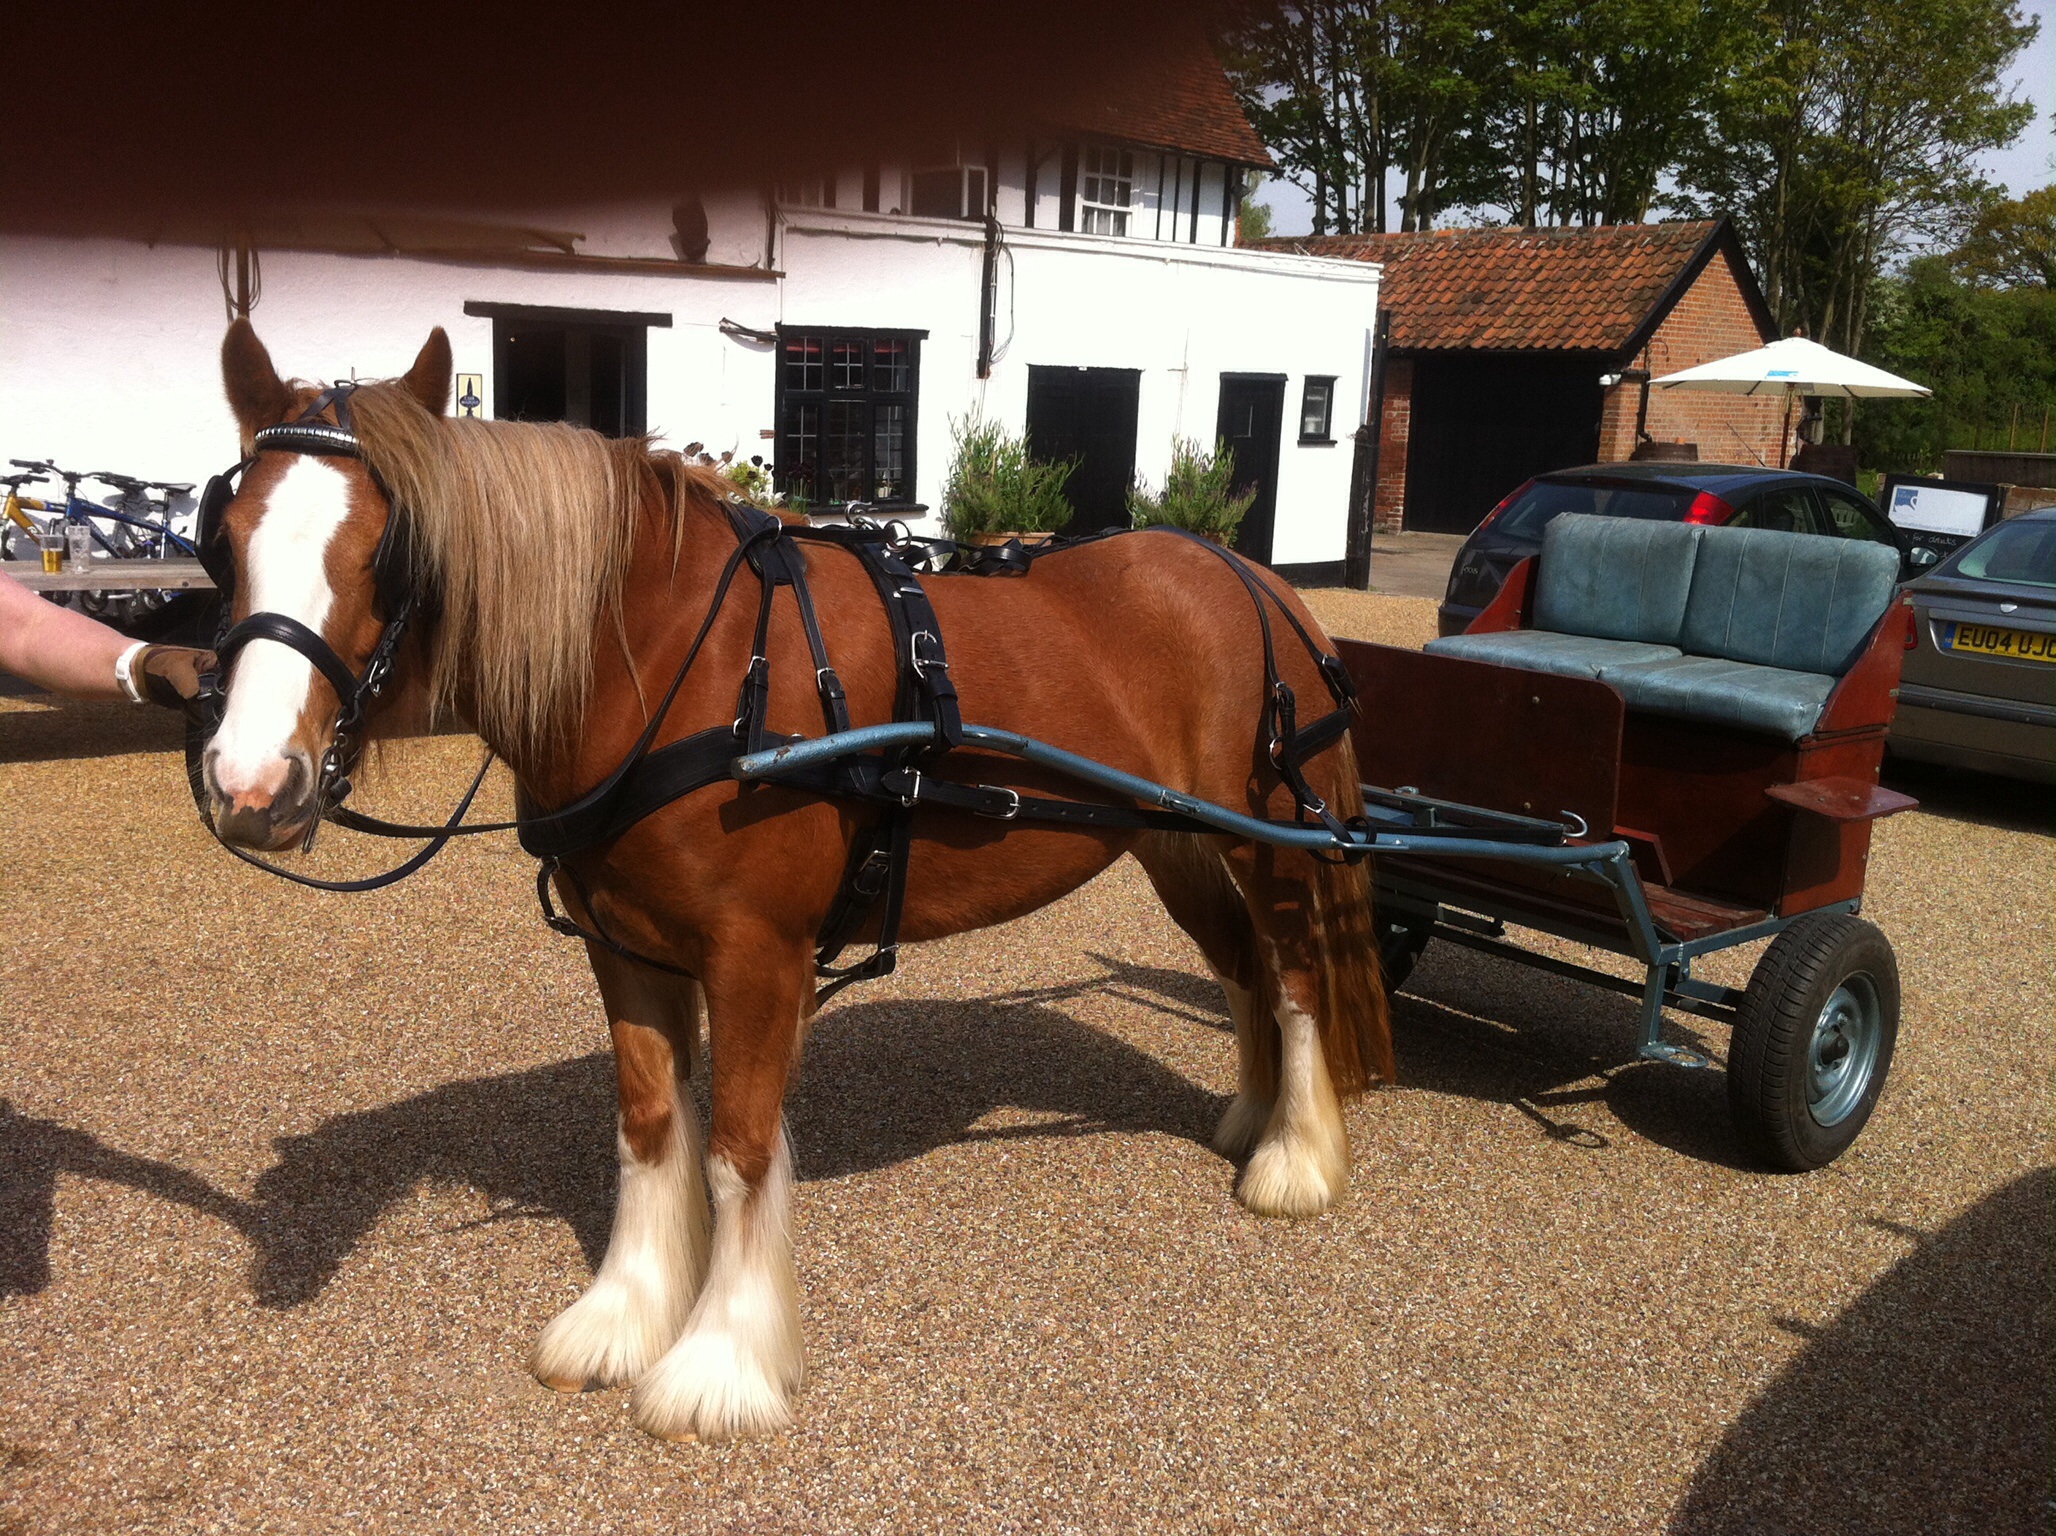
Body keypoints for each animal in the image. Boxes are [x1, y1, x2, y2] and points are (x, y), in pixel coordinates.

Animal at [197, 319, 1393, 1441]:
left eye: (389, 551)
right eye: (227, 539)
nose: (252, 785)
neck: (681, 663)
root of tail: (1255, 578)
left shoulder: (756, 958)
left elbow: (735, 1152)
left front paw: (720, 1361)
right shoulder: (624, 950)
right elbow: (648, 1128)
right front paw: (623, 1317)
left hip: (1269, 842)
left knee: (1294, 977)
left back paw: (1294, 1158)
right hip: (1174, 842)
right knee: (1244, 969)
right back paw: (1251, 1121)